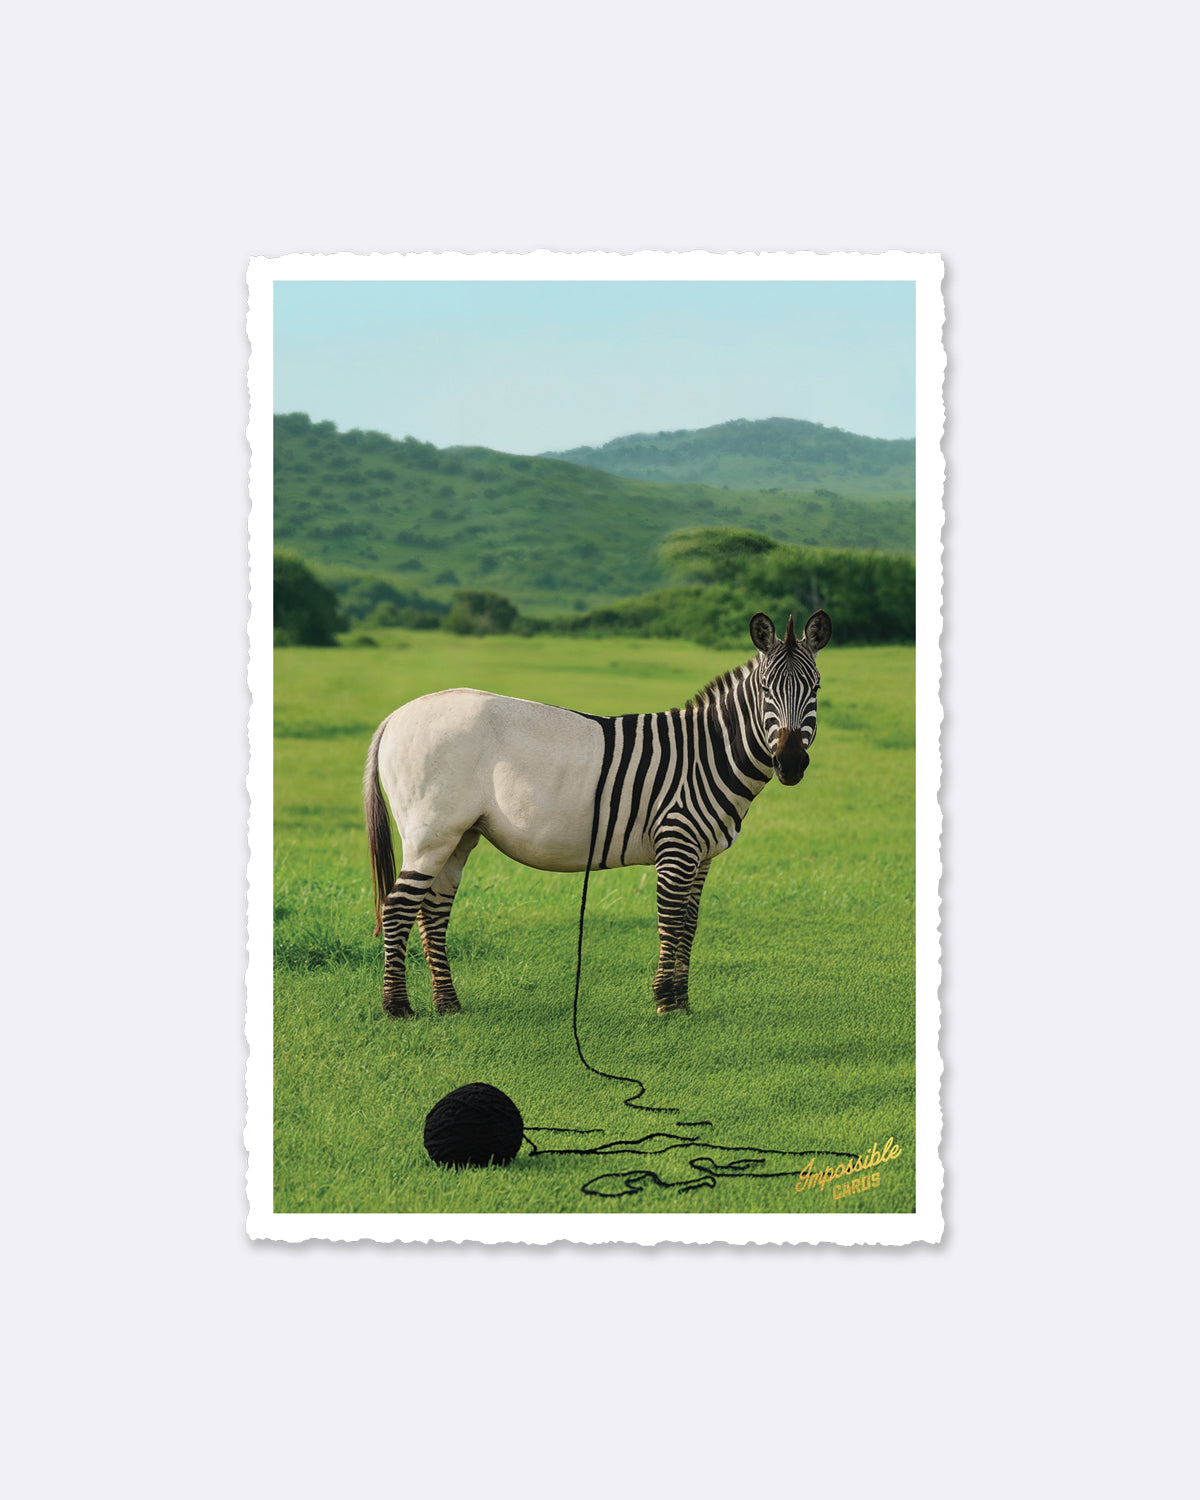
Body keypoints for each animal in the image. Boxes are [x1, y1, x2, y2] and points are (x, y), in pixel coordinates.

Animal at [363, 608, 831, 1018]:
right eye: (767, 690)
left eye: (816, 689)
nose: (790, 764)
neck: (705, 756)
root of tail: (397, 714)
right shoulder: (676, 844)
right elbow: (670, 920)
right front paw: (666, 1002)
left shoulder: (702, 855)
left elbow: (689, 923)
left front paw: (681, 1001)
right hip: (431, 832)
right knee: (398, 907)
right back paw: (397, 1007)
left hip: (459, 835)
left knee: (432, 909)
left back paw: (448, 1005)